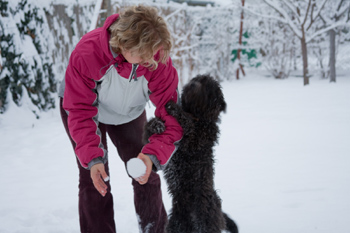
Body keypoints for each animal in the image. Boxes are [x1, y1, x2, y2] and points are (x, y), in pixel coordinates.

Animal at [144, 74, 239, 233]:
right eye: (196, 79)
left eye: (207, 86)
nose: (192, 84)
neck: (197, 117)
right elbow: (147, 133)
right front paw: (156, 124)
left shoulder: (195, 141)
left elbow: (188, 124)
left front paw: (174, 108)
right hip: (175, 224)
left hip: (206, 221)